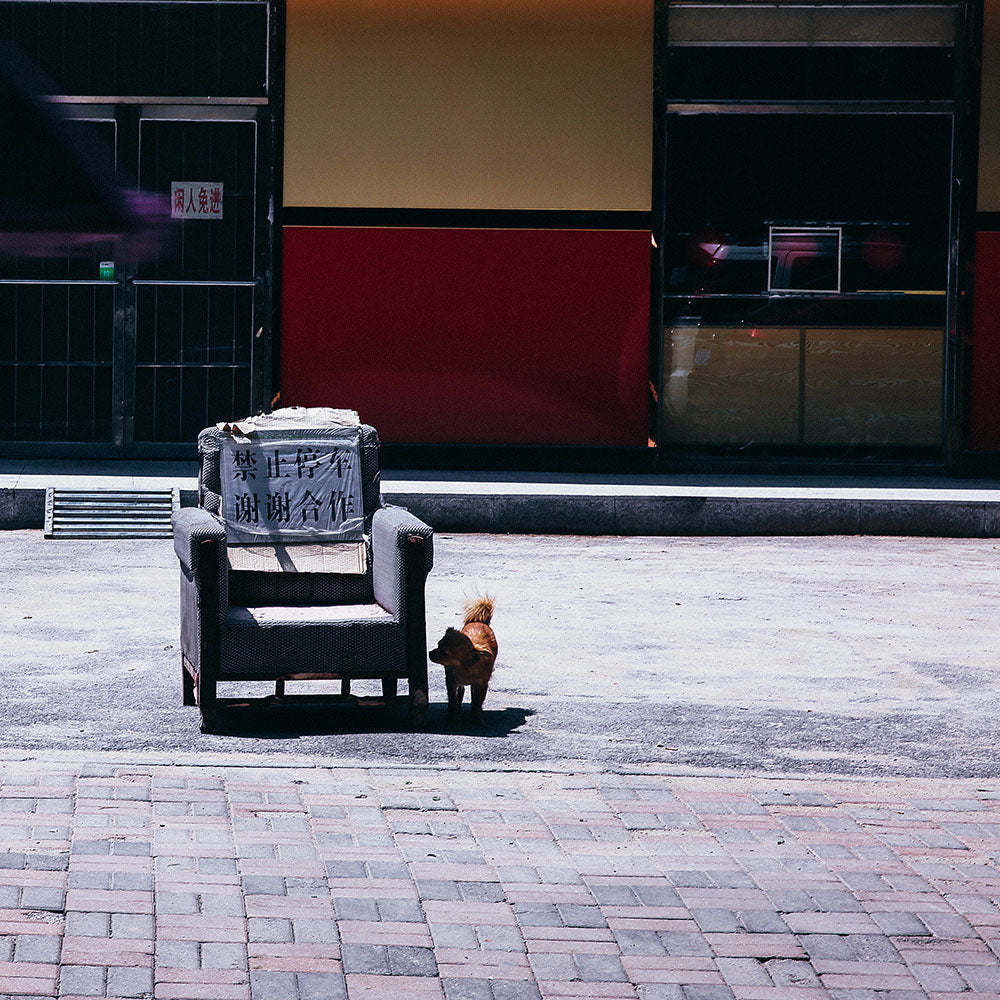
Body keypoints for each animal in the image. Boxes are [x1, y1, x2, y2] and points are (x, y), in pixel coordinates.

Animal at [430, 596, 496, 724]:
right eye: (438, 644)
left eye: (445, 653)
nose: (429, 653)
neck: (464, 667)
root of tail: (480, 621)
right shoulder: (451, 681)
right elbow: (452, 699)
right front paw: (451, 715)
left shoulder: (481, 684)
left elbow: (477, 701)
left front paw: (476, 717)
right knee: (461, 691)